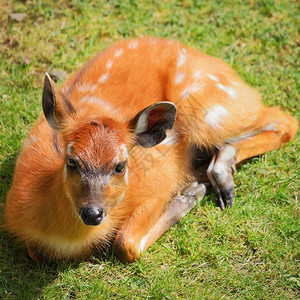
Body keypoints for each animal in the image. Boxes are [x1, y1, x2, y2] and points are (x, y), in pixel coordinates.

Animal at [4, 37, 298, 262]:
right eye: (72, 161)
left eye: (120, 165)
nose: (93, 212)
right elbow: (35, 252)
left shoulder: (158, 182)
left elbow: (126, 244)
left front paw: (189, 195)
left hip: (208, 107)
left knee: (284, 120)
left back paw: (217, 176)